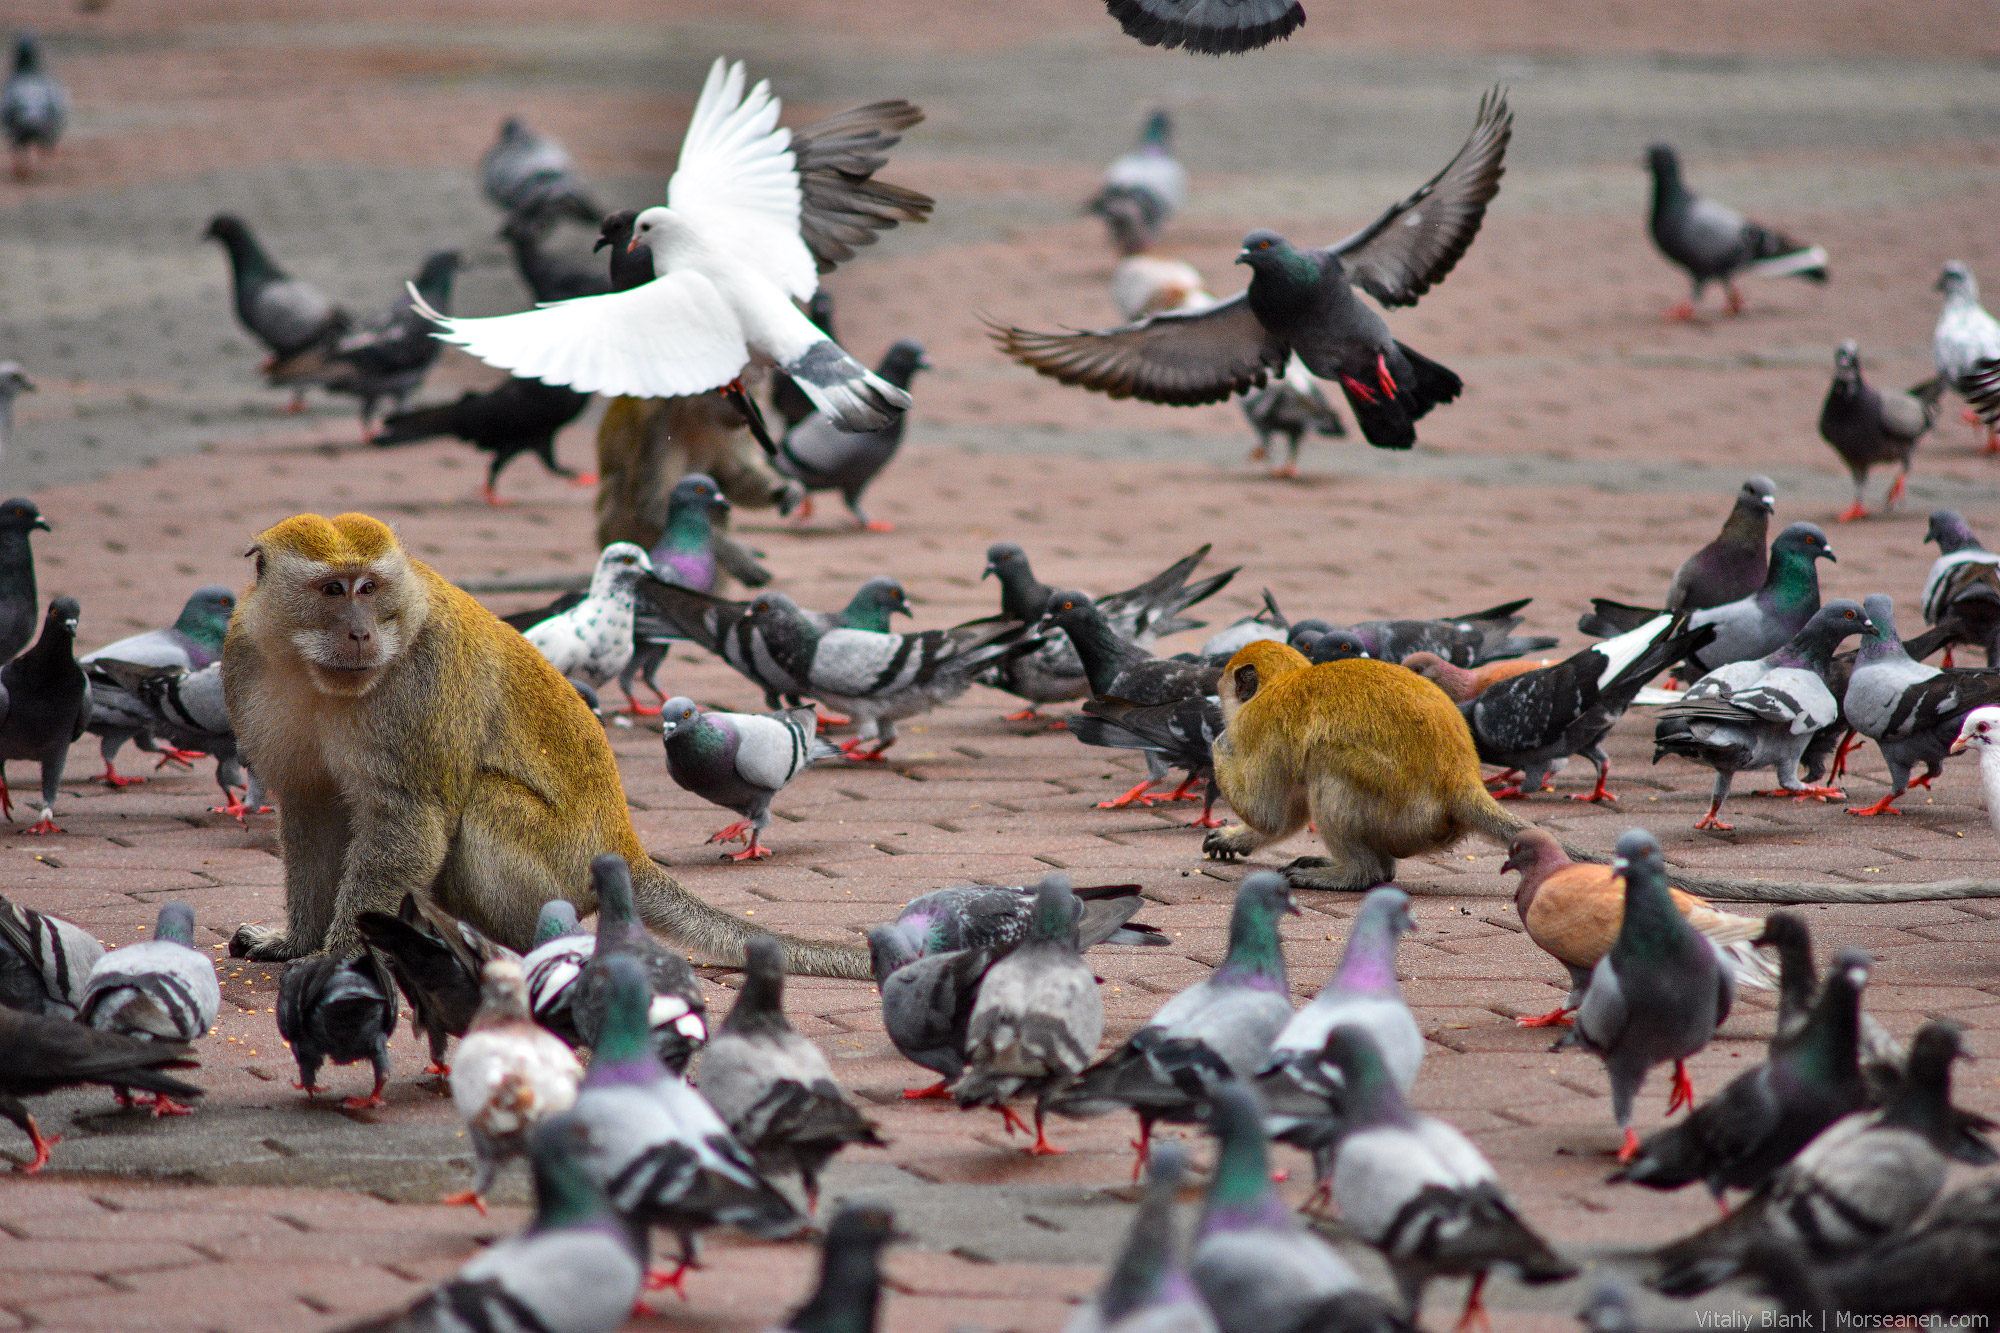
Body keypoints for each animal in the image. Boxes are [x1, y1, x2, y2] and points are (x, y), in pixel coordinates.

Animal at [223, 508, 872, 976]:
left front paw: (336, 955)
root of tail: (623, 845)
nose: (360, 632)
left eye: (370, 587)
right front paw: (296, 941)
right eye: (333, 590)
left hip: (555, 871)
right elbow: (311, 810)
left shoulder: (419, 682)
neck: (316, 675)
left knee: (484, 800)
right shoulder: (246, 660)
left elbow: (409, 820)